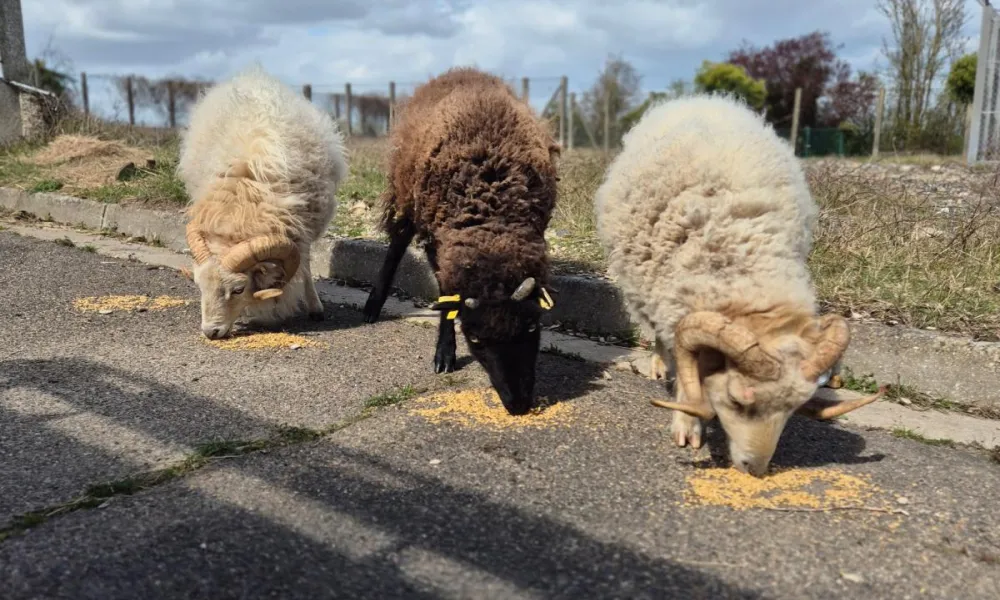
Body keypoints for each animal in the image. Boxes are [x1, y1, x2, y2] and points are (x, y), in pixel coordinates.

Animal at [178, 65, 348, 339]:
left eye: (238, 289)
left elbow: (306, 266)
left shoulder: (303, 229)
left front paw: (315, 306)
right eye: (198, 285)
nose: (210, 332)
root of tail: (251, 75)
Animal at [362, 67, 561, 415]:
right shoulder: (437, 237)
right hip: (407, 195)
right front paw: (444, 354)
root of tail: (462, 70)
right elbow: (446, 296)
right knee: (397, 243)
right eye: (475, 339)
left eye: (532, 327)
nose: (518, 405)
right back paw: (373, 305)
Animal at [594, 94, 884, 476]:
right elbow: (686, 370)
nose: (755, 468)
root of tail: (701, 99)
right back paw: (658, 363)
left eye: (793, 409)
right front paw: (687, 425)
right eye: (736, 399)